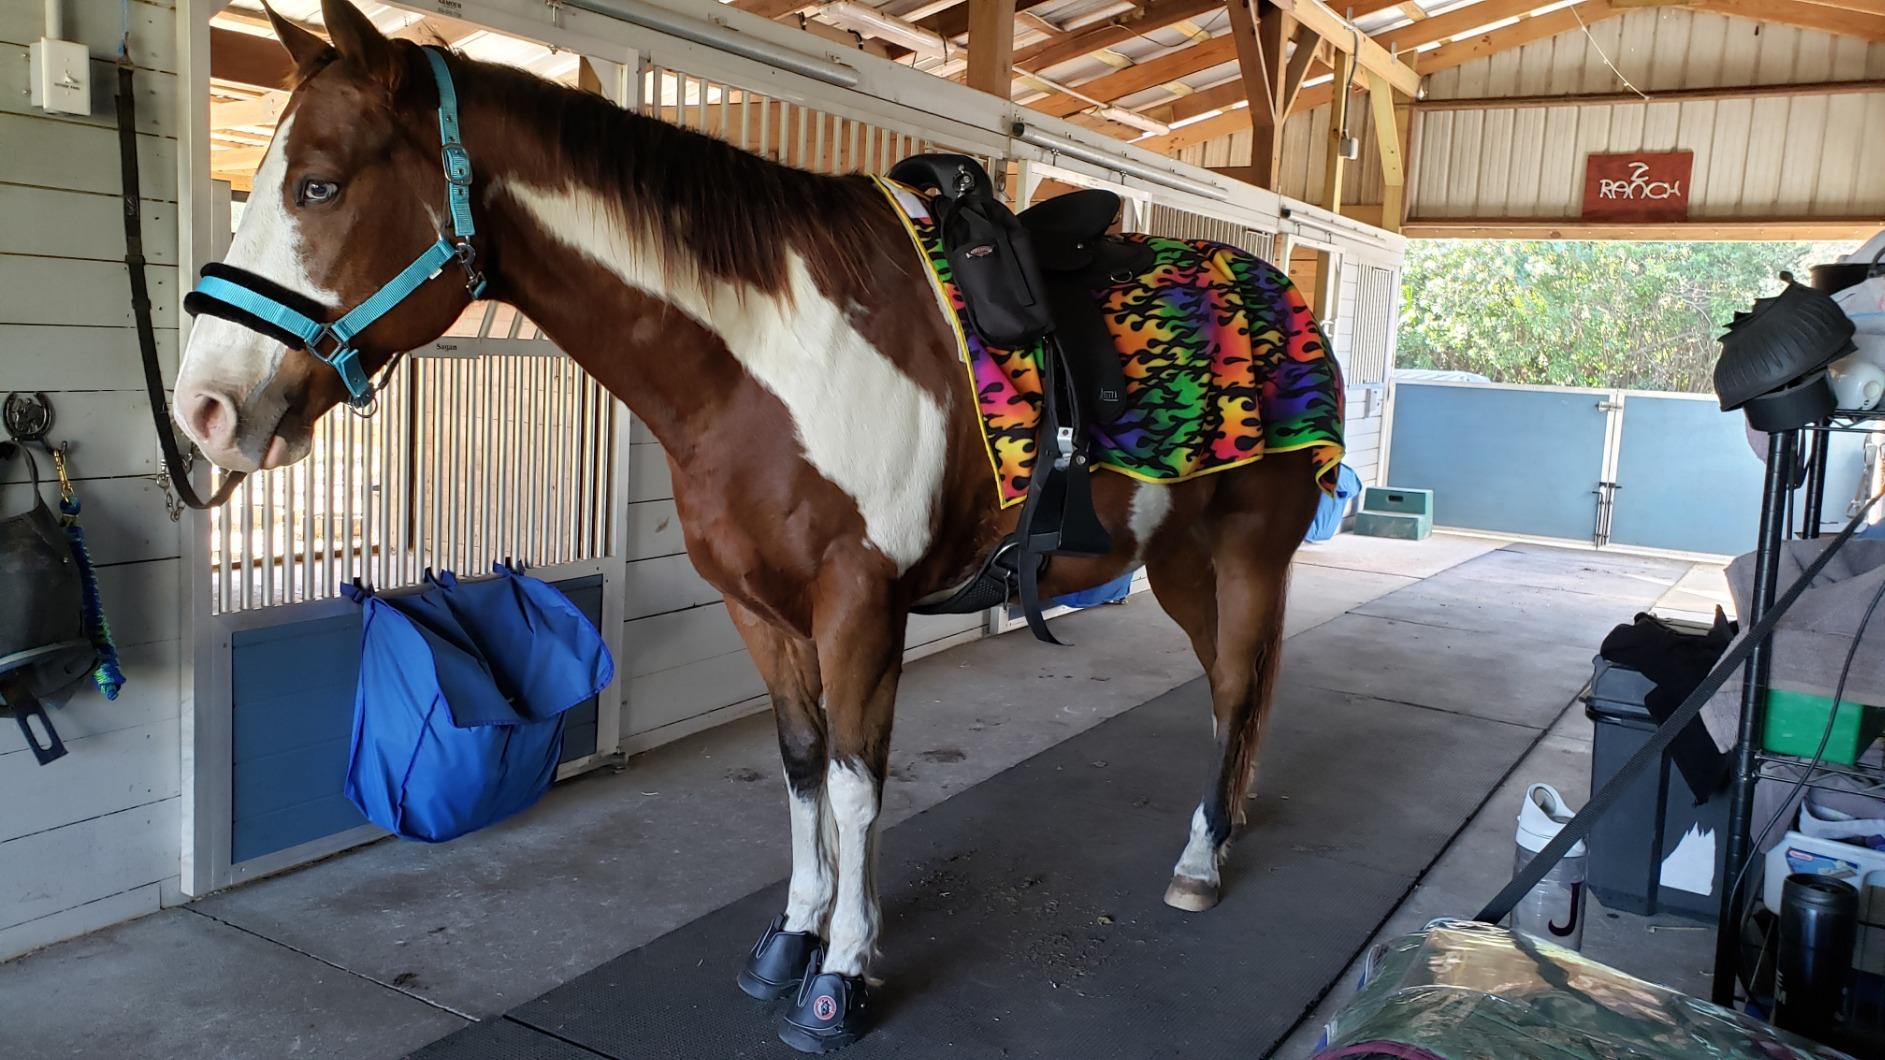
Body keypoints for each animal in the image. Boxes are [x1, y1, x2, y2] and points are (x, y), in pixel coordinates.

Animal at [172, 2, 1331, 1050]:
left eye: (319, 185)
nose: (205, 412)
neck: (769, 359)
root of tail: (1285, 294)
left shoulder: (860, 604)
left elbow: (858, 788)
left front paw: (842, 978)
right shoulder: (762, 611)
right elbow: (803, 767)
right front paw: (791, 942)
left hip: (1249, 554)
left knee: (1237, 687)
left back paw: (1200, 861)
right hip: (1178, 562)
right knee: (1233, 689)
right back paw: (1227, 821)